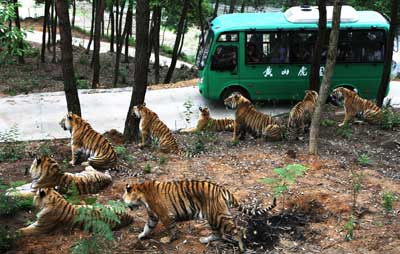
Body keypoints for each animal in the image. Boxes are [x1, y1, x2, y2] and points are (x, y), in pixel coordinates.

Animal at [123, 180, 276, 253]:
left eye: (124, 196)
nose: (123, 202)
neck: (142, 194)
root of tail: (223, 189)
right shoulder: (153, 216)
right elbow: (147, 227)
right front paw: (141, 235)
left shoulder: (165, 215)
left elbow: (170, 229)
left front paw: (169, 239)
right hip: (214, 217)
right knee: (218, 234)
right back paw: (204, 240)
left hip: (219, 216)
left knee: (237, 231)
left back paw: (241, 249)